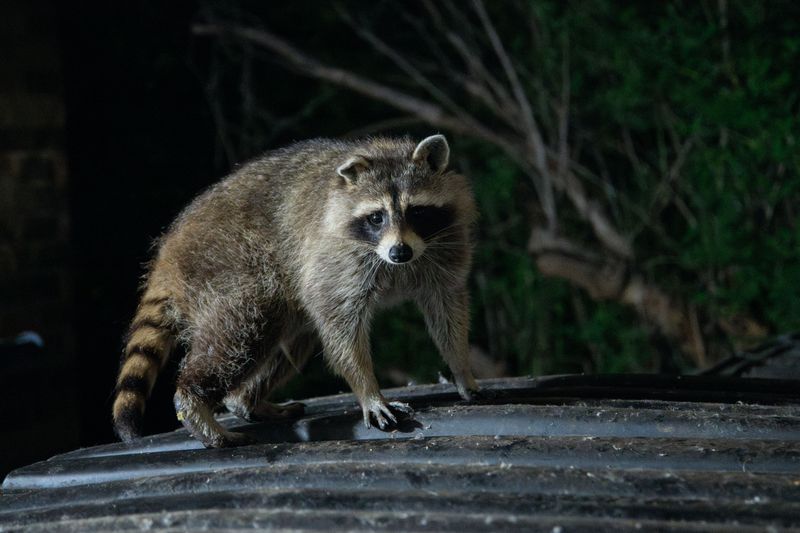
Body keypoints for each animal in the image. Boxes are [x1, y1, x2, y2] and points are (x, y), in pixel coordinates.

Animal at [112, 134, 480, 447]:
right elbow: (340, 325)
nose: (399, 252)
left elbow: (447, 309)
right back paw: (195, 403)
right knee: (242, 330)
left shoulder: (446, 245)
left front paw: (462, 368)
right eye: (377, 218)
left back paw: (246, 400)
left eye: (416, 211)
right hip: (227, 265)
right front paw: (368, 390)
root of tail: (167, 253)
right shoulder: (334, 256)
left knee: (290, 336)